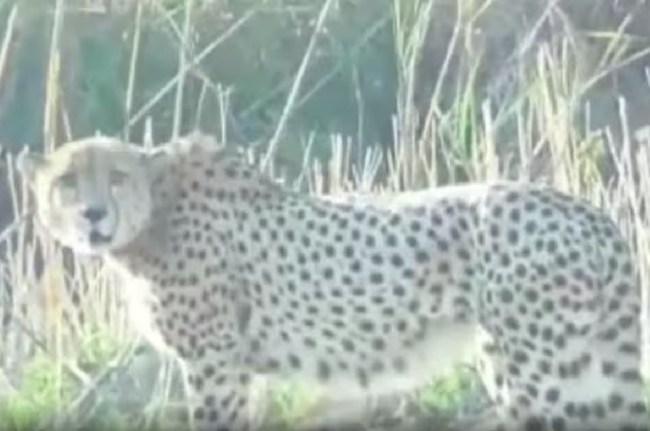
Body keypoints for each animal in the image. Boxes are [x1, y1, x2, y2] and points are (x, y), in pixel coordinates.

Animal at [15, 131, 649, 431]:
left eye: (117, 177)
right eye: (68, 181)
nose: (93, 214)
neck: (154, 215)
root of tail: (586, 210)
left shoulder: (215, 363)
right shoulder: (233, 367)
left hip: (540, 371)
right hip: (552, 363)